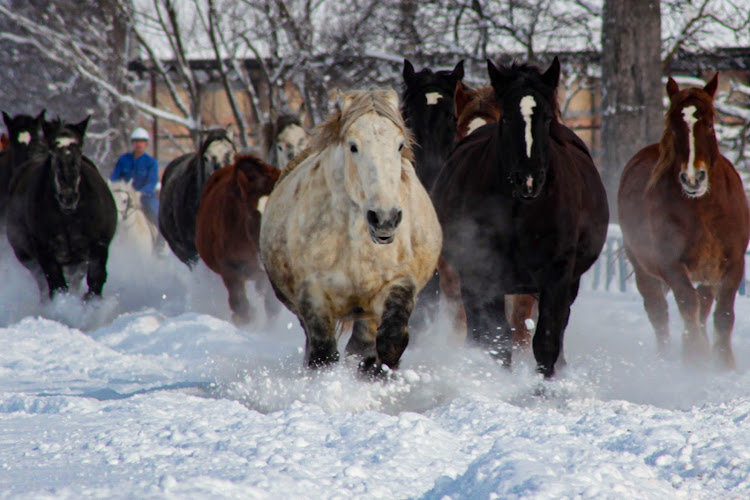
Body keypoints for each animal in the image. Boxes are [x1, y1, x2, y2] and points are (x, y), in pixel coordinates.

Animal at [6, 115, 117, 298]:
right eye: (52, 152)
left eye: (79, 150)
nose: (68, 196)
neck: (69, 218)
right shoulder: (45, 252)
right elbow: (57, 285)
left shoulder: (98, 246)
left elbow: (96, 280)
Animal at [262, 88, 444, 374]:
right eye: (353, 146)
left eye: (399, 145)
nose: (385, 218)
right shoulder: (312, 294)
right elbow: (323, 354)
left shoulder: (399, 282)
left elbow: (391, 342)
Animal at [620, 75, 748, 372]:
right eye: (674, 127)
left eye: (710, 124)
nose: (692, 178)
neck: (703, 211)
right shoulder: (672, 265)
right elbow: (688, 306)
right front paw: (694, 359)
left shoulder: (733, 263)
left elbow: (723, 314)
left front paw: (724, 364)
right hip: (644, 268)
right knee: (658, 312)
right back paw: (665, 357)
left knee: (704, 305)